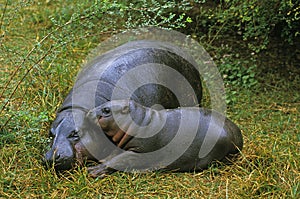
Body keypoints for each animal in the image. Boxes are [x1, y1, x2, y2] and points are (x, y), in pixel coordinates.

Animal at [82, 100, 244, 178]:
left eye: (106, 110)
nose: (88, 112)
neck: (141, 120)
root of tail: (238, 135)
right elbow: (114, 155)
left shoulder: (139, 152)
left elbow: (119, 160)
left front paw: (92, 171)